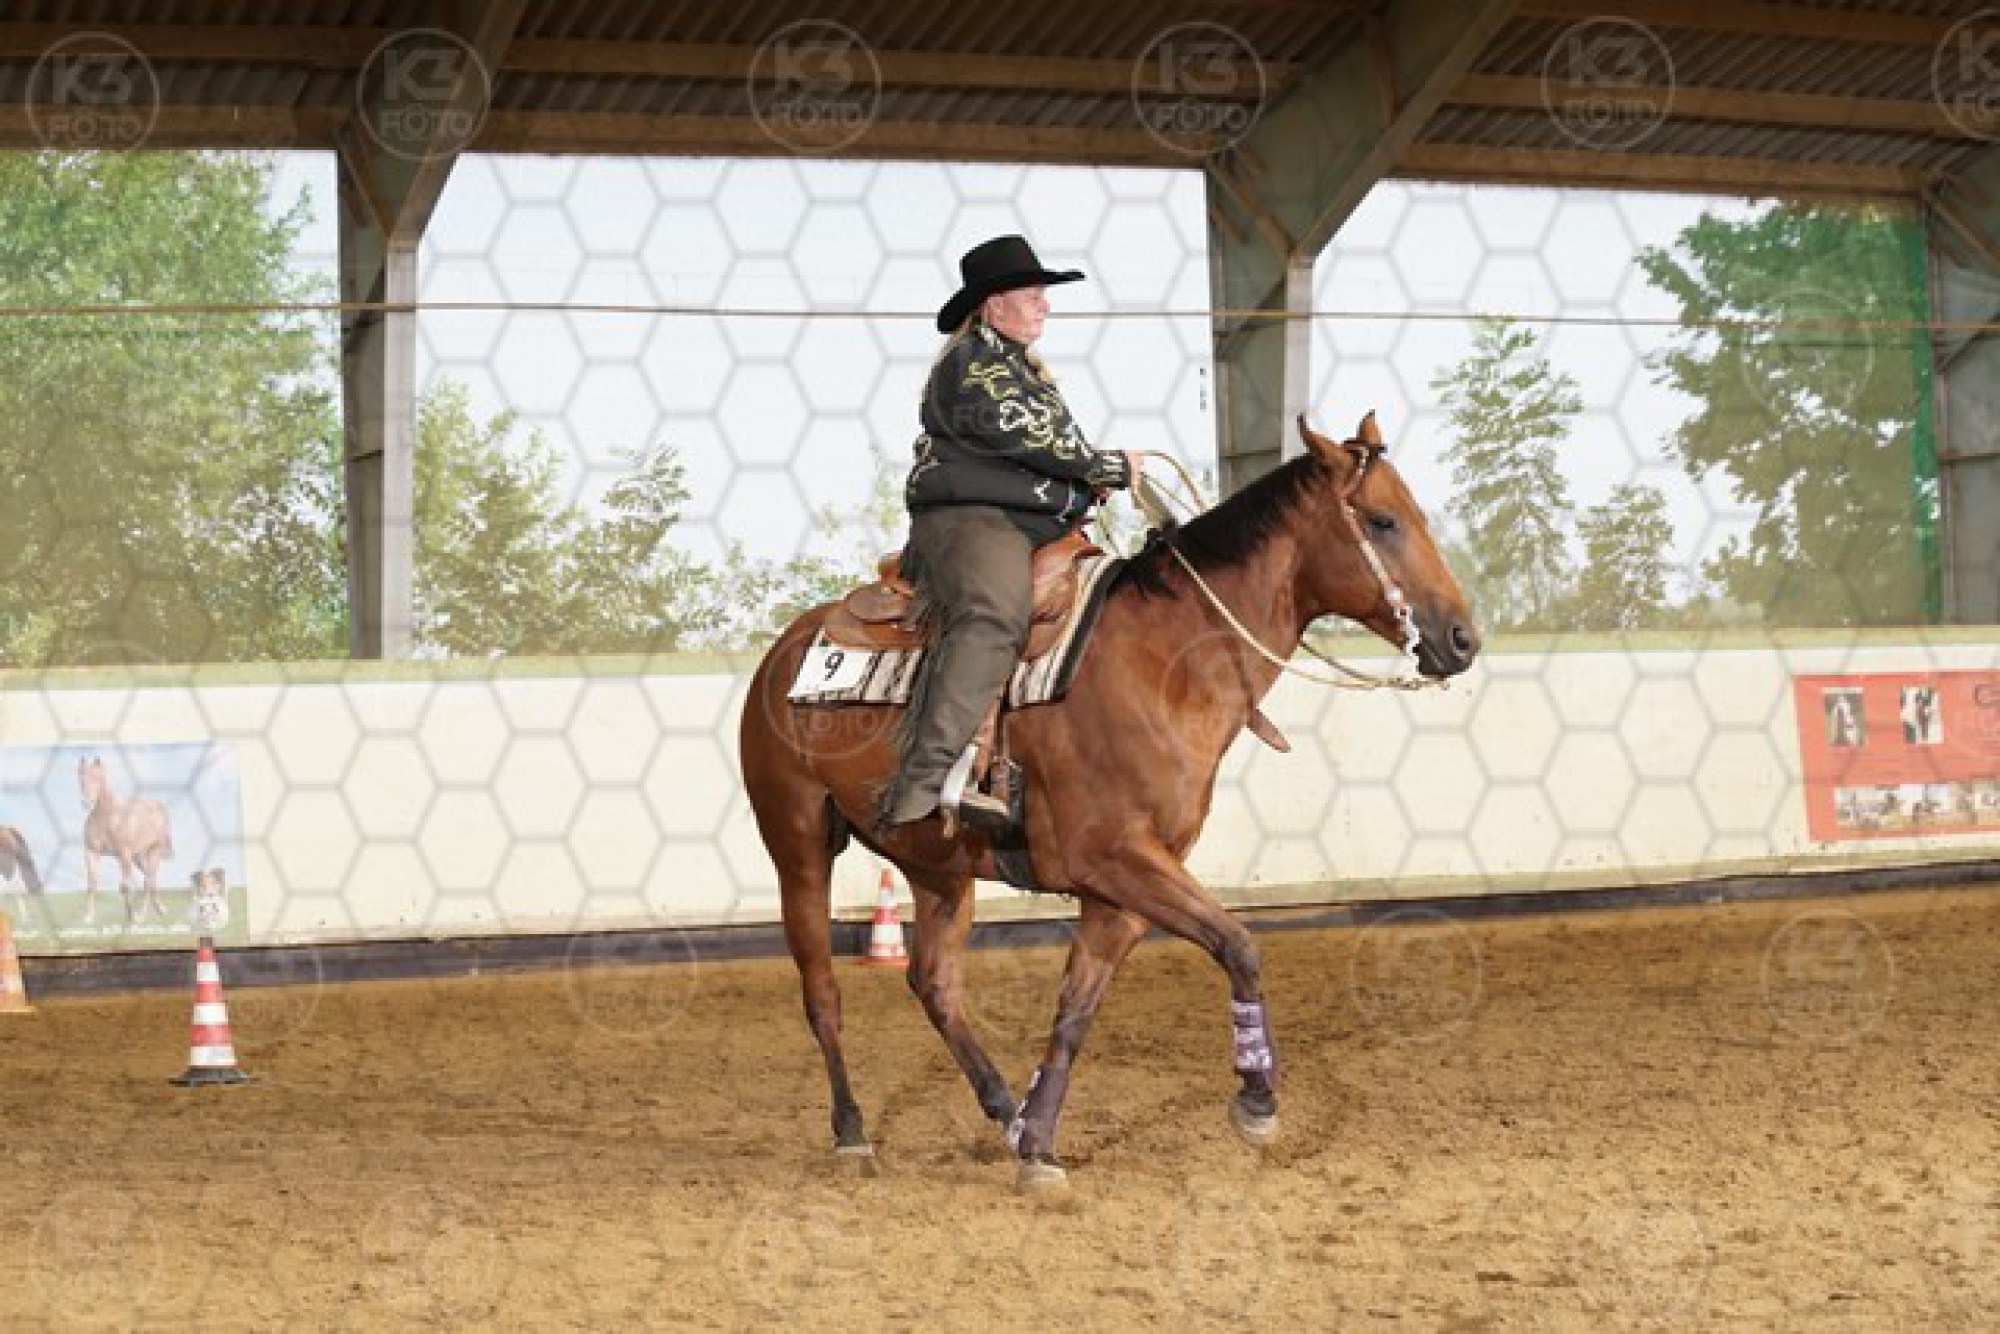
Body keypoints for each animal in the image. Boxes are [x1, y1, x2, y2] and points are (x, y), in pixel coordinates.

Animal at [77, 756, 175, 924]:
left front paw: (131, 916)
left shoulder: (124, 854)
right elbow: (92, 885)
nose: (86, 803)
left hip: (153, 852)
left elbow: (124, 887)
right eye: (81, 779)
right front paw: (89, 917)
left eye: (97, 778)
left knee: (148, 880)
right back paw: (159, 909)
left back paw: (143, 915)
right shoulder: (92, 852)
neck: (108, 816)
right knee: (150, 878)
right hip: (138, 857)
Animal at [738, 413, 1479, 1189]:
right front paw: (1256, 1101)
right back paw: (852, 1130)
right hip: (797, 844)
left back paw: (1002, 1109)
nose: (1462, 640)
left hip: (937, 866)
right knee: (823, 992)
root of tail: (785, 650)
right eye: (1383, 520)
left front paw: (1037, 1142)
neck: (1166, 661)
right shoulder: (1113, 858)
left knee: (934, 982)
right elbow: (1239, 944)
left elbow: (1075, 1012)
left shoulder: (1123, 891)